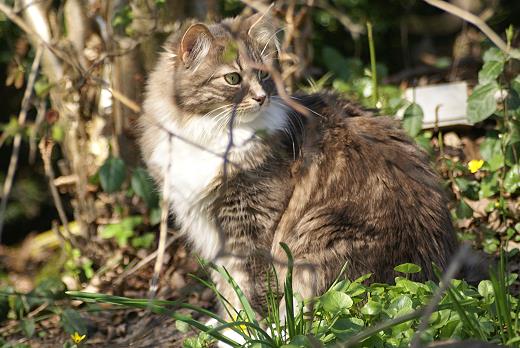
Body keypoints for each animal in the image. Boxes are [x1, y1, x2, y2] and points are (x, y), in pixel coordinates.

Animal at [139, 13, 460, 322]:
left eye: (264, 74)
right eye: (232, 78)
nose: (261, 97)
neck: (209, 134)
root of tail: (434, 276)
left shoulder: (251, 223)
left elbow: (254, 289)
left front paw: (253, 329)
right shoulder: (205, 225)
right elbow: (228, 288)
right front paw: (232, 325)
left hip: (320, 244)